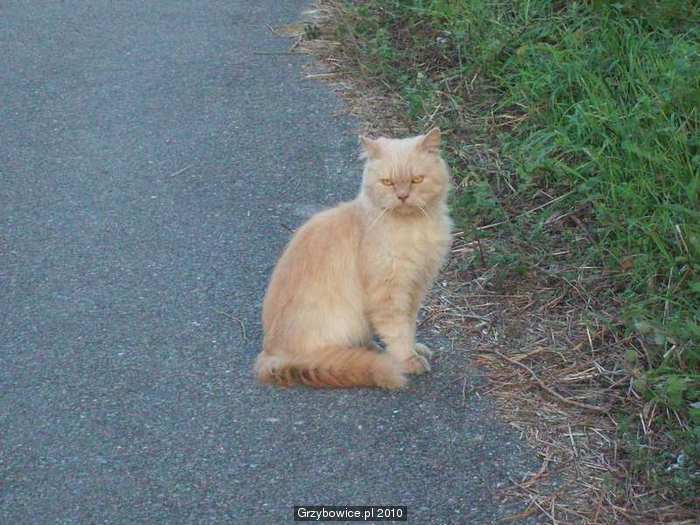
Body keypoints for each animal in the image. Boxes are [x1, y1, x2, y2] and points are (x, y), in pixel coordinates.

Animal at [254, 128, 453, 389]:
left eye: (416, 180)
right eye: (387, 182)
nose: (402, 196)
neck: (413, 229)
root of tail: (270, 354)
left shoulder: (416, 287)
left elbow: (409, 325)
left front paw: (414, 349)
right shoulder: (389, 292)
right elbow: (398, 331)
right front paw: (408, 360)